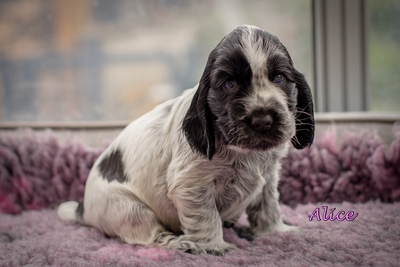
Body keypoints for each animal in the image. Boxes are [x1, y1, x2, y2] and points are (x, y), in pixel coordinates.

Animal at [57, 25, 314, 255]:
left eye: (279, 78)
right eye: (229, 84)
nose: (262, 120)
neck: (245, 152)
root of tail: (82, 209)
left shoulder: (269, 176)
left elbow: (267, 206)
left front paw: (275, 231)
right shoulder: (191, 184)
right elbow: (206, 215)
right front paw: (212, 246)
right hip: (128, 209)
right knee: (148, 234)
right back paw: (181, 243)